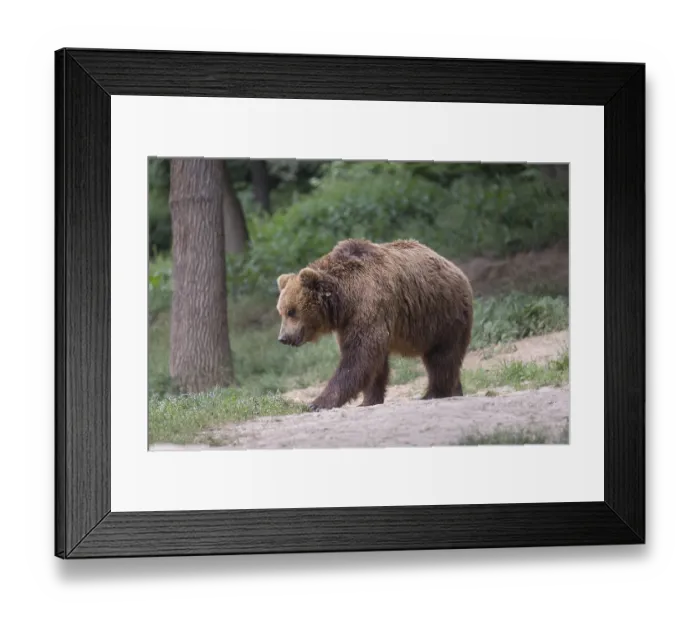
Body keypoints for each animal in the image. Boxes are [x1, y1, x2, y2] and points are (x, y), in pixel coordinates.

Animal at [276, 238, 474, 412]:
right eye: (281, 311)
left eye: (292, 311)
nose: (283, 337)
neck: (345, 298)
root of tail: (457, 270)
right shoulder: (348, 322)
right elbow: (374, 362)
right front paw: (368, 400)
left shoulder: (370, 305)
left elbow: (358, 356)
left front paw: (317, 403)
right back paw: (456, 390)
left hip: (443, 315)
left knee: (442, 357)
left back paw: (433, 393)